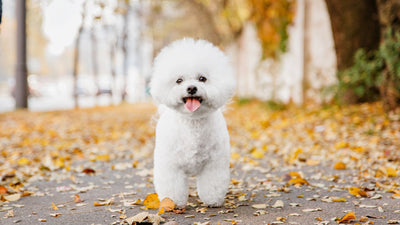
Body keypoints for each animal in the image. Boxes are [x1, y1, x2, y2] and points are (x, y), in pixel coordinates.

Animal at [152, 37, 236, 207]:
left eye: (202, 78)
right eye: (179, 80)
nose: (191, 88)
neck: (193, 123)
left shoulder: (214, 163)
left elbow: (212, 183)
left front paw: (212, 200)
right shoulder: (171, 164)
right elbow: (172, 185)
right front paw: (172, 202)